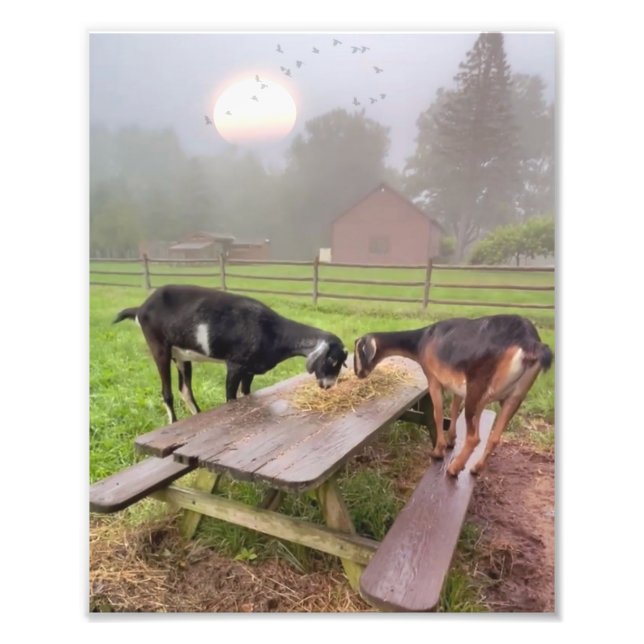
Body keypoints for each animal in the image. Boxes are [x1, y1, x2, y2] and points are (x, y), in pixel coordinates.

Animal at [114, 284, 348, 423]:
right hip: (159, 347)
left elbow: (245, 393)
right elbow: (230, 398)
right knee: (167, 393)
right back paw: (174, 422)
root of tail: (141, 309)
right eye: (331, 359)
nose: (328, 385)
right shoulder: (235, 366)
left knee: (185, 390)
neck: (273, 332)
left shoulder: (249, 370)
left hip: (181, 356)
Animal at [354, 314, 553, 477]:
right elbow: (454, 408)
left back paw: (454, 468)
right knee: (495, 437)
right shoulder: (459, 386)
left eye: (358, 352)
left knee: (474, 437)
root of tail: (529, 342)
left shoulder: (433, 379)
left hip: (478, 391)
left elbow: (438, 413)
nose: (358, 373)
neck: (423, 340)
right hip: (514, 397)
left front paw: (438, 450)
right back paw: (476, 468)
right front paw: (451, 440)